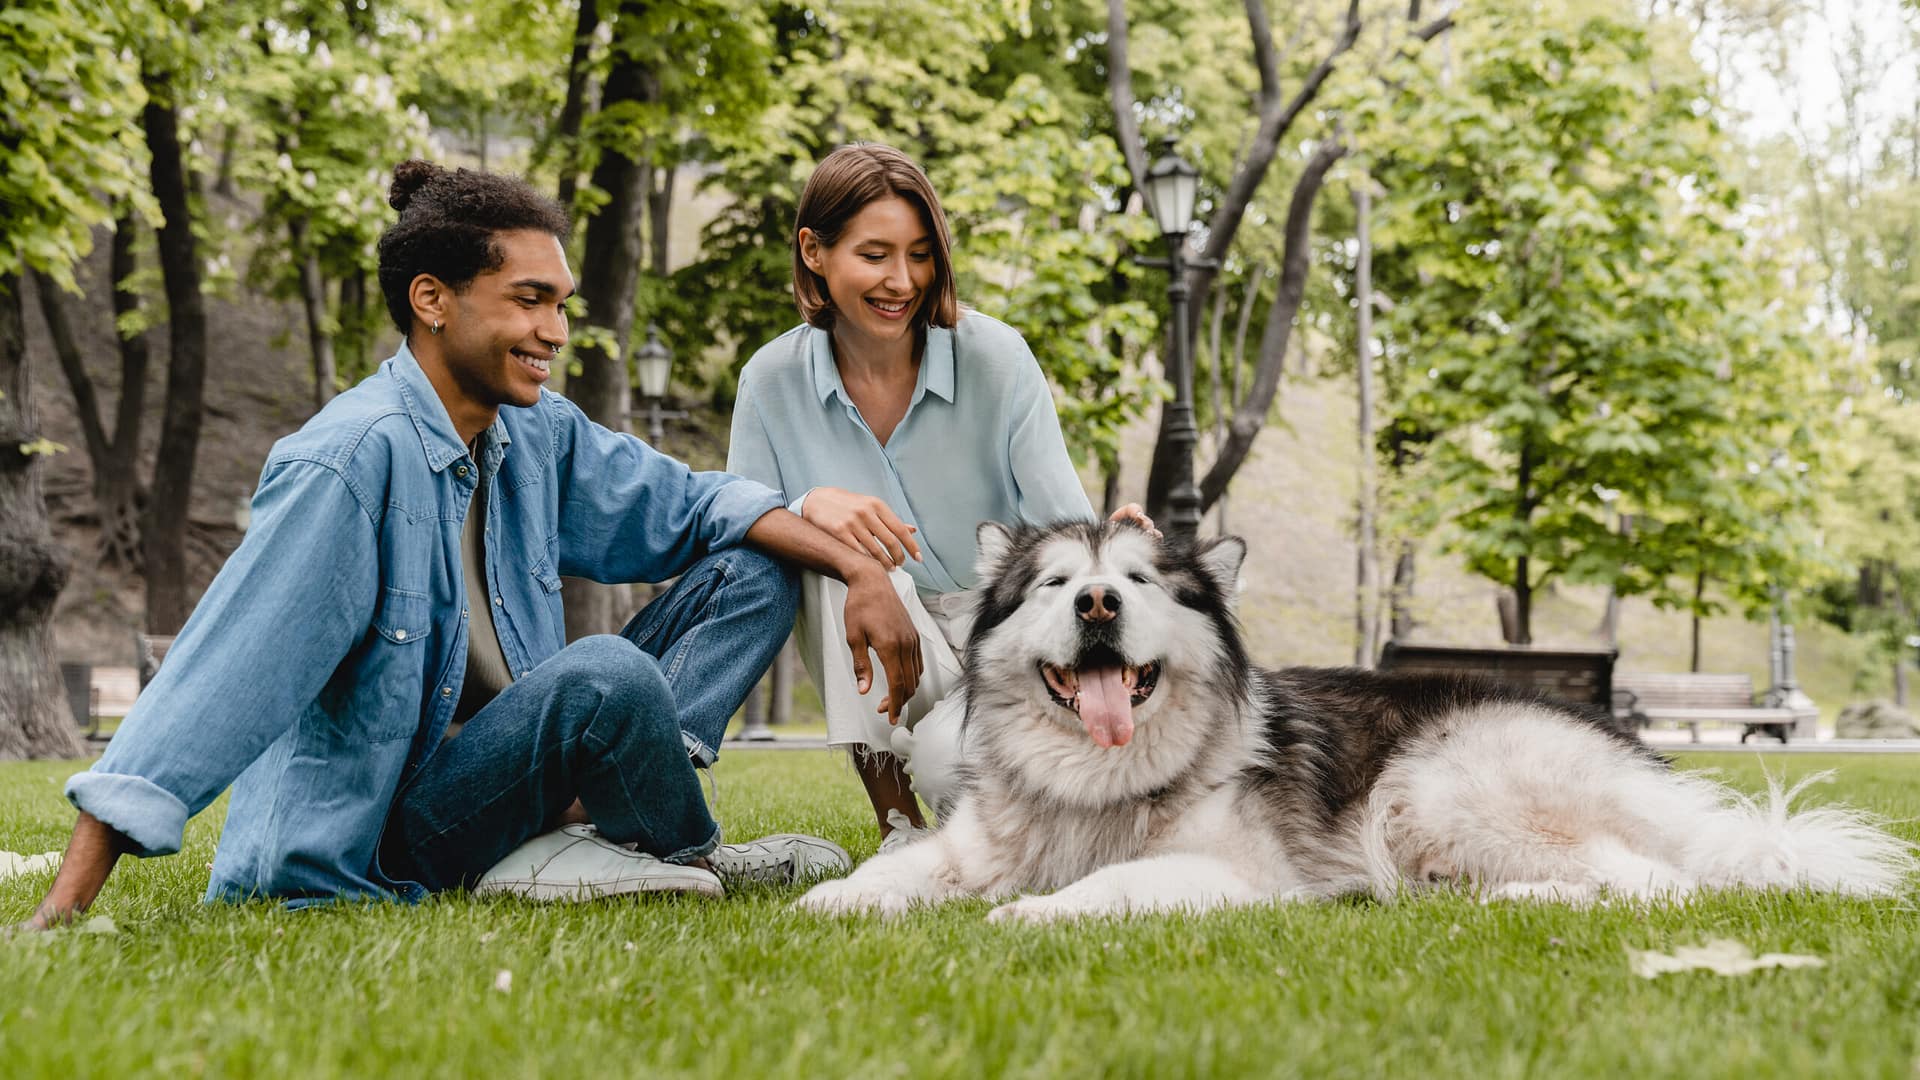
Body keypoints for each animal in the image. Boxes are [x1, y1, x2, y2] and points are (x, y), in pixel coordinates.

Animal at [794, 518, 1904, 914]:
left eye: (1141, 582)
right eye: (1057, 583)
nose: (1098, 605)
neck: (1095, 778)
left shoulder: (1235, 875)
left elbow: (1101, 889)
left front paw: (1031, 914)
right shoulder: (975, 844)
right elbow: (897, 871)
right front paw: (835, 900)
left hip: (1438, 781)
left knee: (1658, 883)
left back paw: (1513, 900)